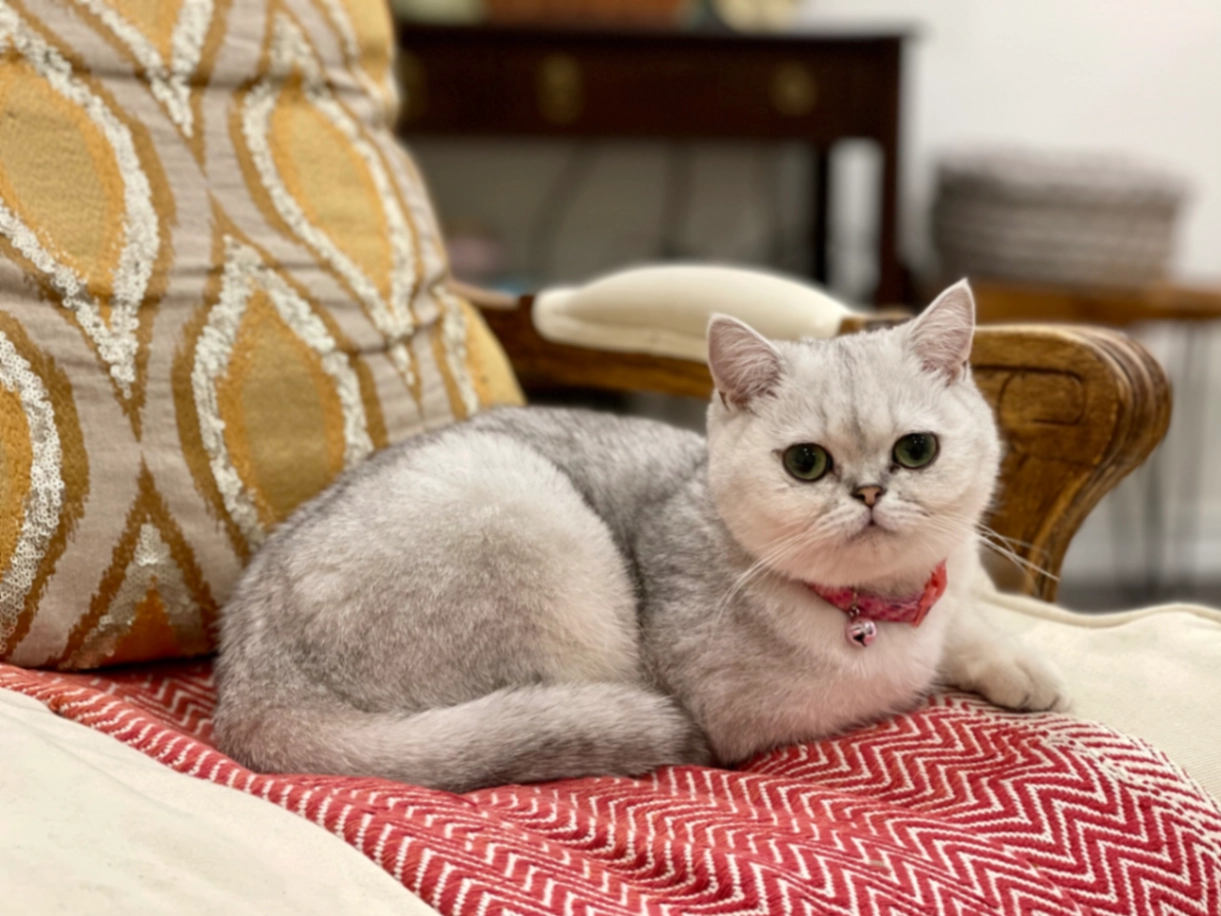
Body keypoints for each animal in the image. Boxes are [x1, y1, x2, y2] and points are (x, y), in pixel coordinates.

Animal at [214, 280, 1064, 793]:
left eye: (915, 450)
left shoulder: (948, 582)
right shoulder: (750, 714)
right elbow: (904, 677)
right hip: (530, 522)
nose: (867, 493)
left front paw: (1017, 665)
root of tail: (251, 682)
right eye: (805, 463)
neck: (881, 605)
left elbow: (965, 620)